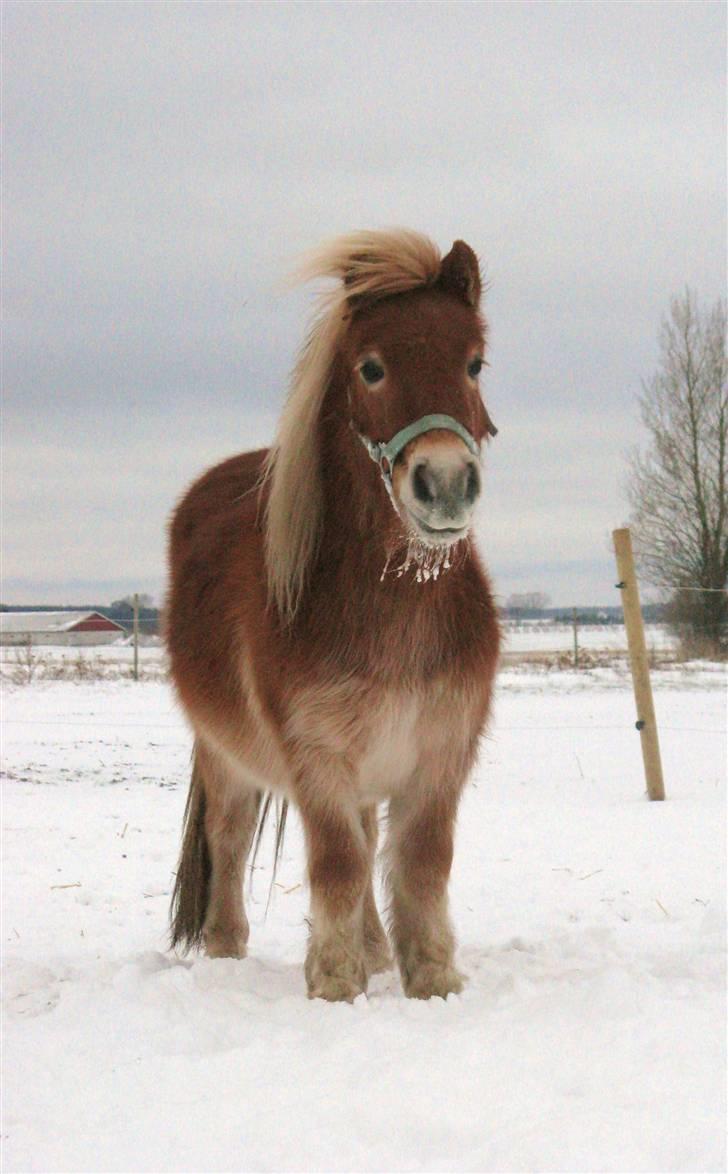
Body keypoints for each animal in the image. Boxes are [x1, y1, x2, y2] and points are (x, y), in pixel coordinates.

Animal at [167, 228, 500, 1000]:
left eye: (474, 363)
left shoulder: (440, 753)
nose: (445, 485)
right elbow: (340, 865)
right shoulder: (316, 757)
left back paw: (378, 952)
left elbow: (420, 864)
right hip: (227, 756)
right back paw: (226, 950)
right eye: (371, 368)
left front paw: (431, 980)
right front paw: (335, 986)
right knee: (229, 838)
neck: (395, 603)